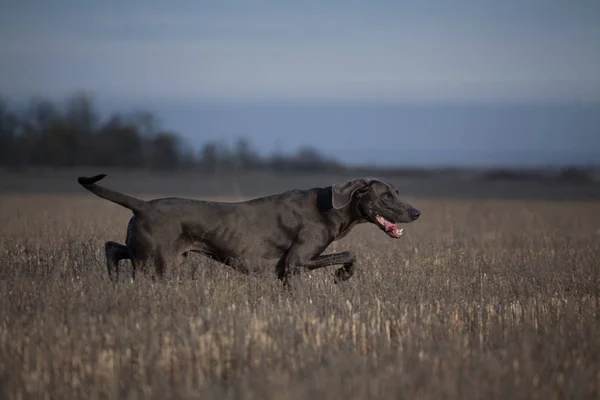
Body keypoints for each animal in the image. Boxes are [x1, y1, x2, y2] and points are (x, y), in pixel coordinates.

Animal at [77, 174, 420, 284]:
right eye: (386, 196)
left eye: (397, 192)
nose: (417, 212)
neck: (332, 207)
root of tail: (143, 205)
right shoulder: (296, 262)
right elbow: (349, 254)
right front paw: (341, 276)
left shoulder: (287, 270)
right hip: (157, 263)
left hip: (148, 253)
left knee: (112, 248)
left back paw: (112, 281)